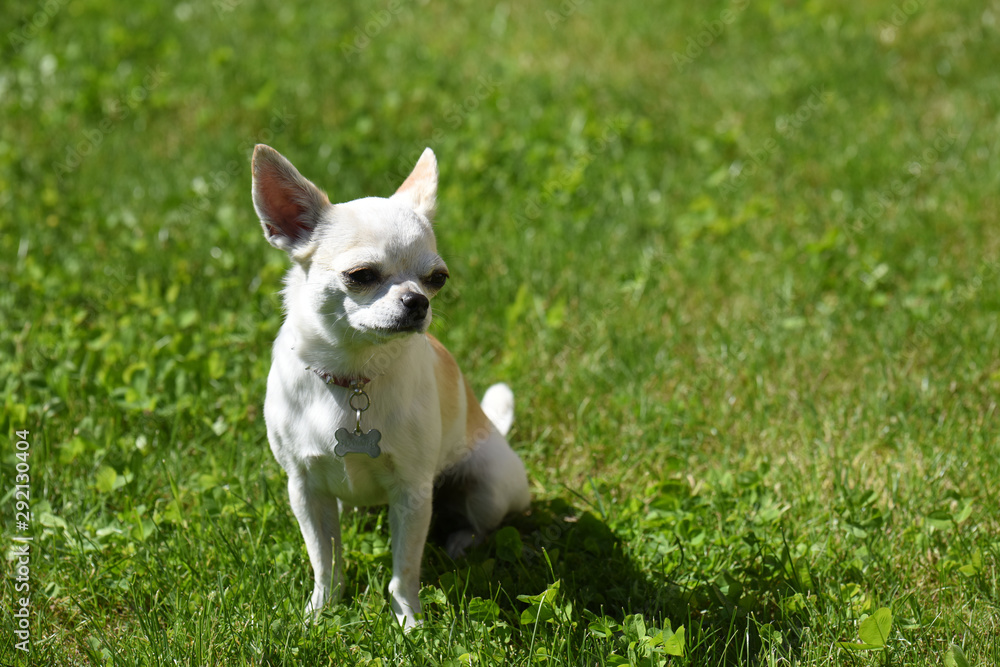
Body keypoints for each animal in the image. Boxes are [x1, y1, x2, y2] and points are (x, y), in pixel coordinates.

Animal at [250, 144, 532, 628]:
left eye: (438, 279)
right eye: (361, 275)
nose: (417, 301)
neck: (353, 375)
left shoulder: (413, 494)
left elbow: (405, 569)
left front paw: (409, 623)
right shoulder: (304, 488)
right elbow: (324, 559)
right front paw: (321, 611)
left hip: (490, 484)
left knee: (480, 524)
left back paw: (460, 542)